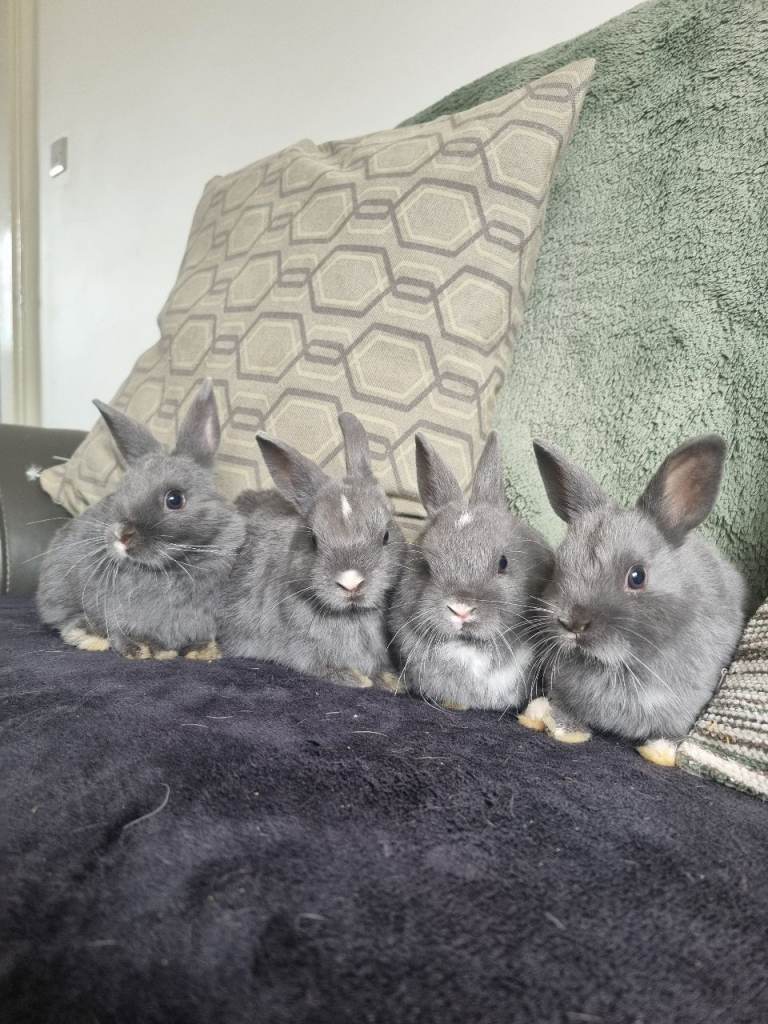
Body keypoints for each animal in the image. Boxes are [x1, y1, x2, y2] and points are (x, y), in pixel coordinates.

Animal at [36, 379, 246, 660]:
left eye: (175, 499)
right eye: (121, 491)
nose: (121, 534)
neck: (174, 569)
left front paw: (202, 651)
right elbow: (121, 633)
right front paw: (144, 650)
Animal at [219, 412, 406, 689]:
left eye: (386, 535)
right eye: (313, 540)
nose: (351, 582)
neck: (352, 616)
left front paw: (391, 680)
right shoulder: (301, 650)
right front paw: (356, 679)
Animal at [518, 435, 746, 766]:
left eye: (637, 576)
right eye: (559, 565)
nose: (572, 622)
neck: (616, 666)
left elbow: (671, 734)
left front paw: (660, 753)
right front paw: (560, 727)